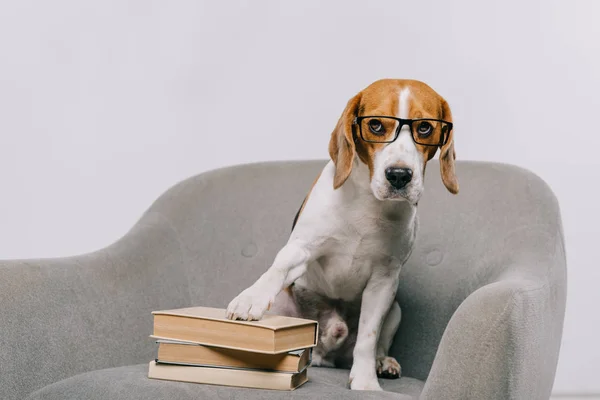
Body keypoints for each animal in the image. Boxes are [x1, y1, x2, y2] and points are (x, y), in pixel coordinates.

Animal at [227, 78, 458, 390]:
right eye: (375, 125)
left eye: (424, 127)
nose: (399, 175)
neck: (368, 201)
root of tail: (325, 354)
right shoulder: (302, 248)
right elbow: (278, 268)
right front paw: (251, 297)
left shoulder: (384, 280)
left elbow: (368, 339)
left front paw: (366, 383)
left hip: (396, 309)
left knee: (376, 343)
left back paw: (383, 362)